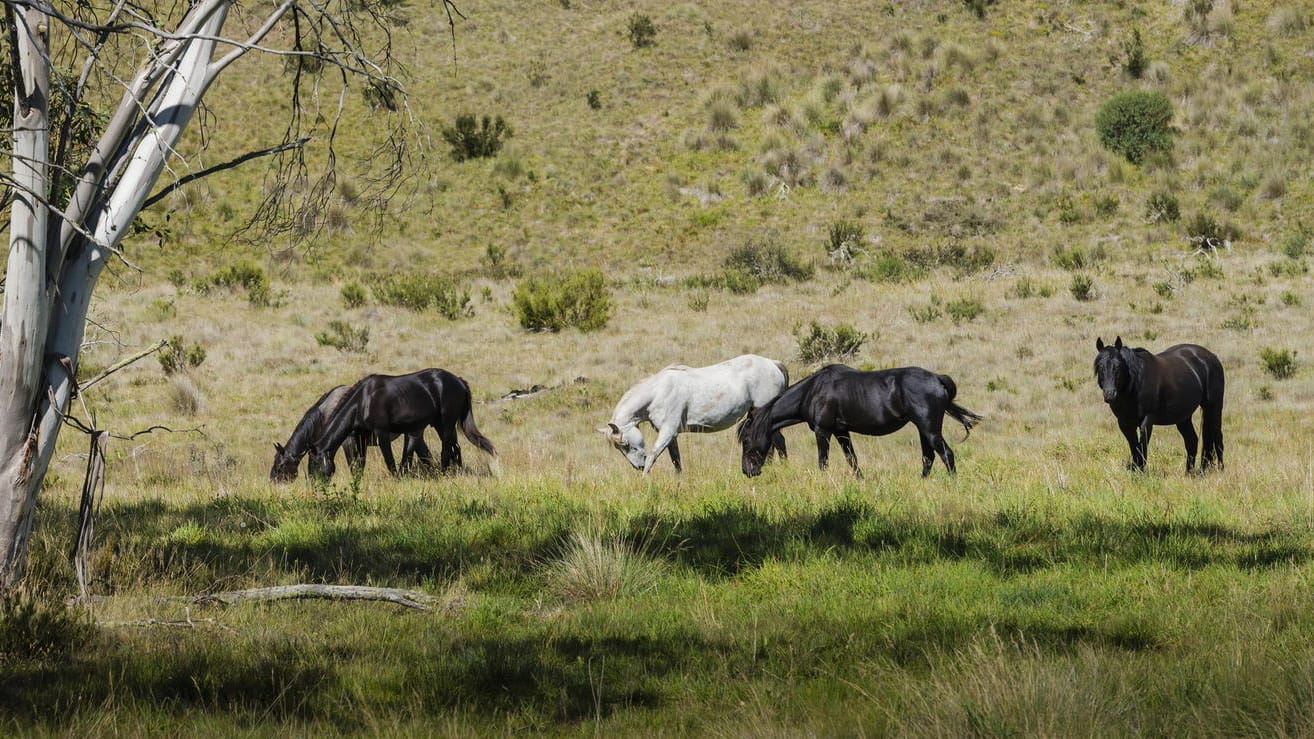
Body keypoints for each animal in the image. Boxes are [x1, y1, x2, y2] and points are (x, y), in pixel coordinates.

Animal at [304, 368, 494, 478]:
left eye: (314, 466)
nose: (316, 489)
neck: (364, 400)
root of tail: (459, 381)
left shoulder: (381, 433)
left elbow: (389, 462)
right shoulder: (361, 437)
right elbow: (360, 464)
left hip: (446, 423)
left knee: (446, 450)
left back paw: (444, 473)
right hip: (440, 425)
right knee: (455, 448)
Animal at [599, 352, 788, 470]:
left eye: (625, 444)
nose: (638, 466)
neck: (657, 393)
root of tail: (773, 364)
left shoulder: (667, 432)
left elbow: (653, 457)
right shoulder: (671, 435)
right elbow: (676, 460)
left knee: (779, 441)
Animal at [735, 362, 982, 478]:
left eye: (746, 440)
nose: (747, 471)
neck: (812, 391)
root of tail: (938, 379)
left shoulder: (822, 431)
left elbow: (823, 461)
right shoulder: (841, 432)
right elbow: (852, 460)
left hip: (930, 428)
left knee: (946, 454)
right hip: (923, 428)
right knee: (928, 457)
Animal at [1087, 335, 1219, 470]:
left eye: (1118, 366)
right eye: (1100, 367)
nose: (1110, 394)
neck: (1136, 384)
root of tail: (1211, 357)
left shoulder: (1147, 420)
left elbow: (1142, 448)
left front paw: (1141, 471)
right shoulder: (1124, 423)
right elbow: (1134, 448)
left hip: (1213, 409)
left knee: (1216, 437)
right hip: (1183, 417)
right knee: (1192, 441)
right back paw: (1189, 473)